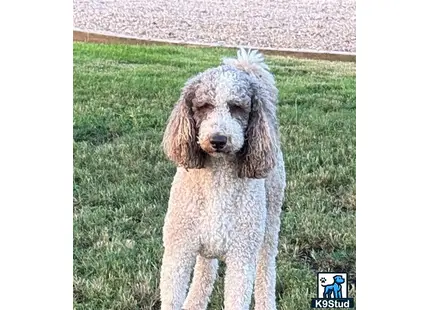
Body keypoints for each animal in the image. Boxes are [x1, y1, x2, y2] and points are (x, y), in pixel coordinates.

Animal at [160, 48, 288, 310]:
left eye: (237, 107)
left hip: (269, 225)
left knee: (266, 270)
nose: (218, 139)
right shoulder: (179, 250)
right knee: (205, 272)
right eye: (204, 106)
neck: (217, 181)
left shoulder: (241, 257)